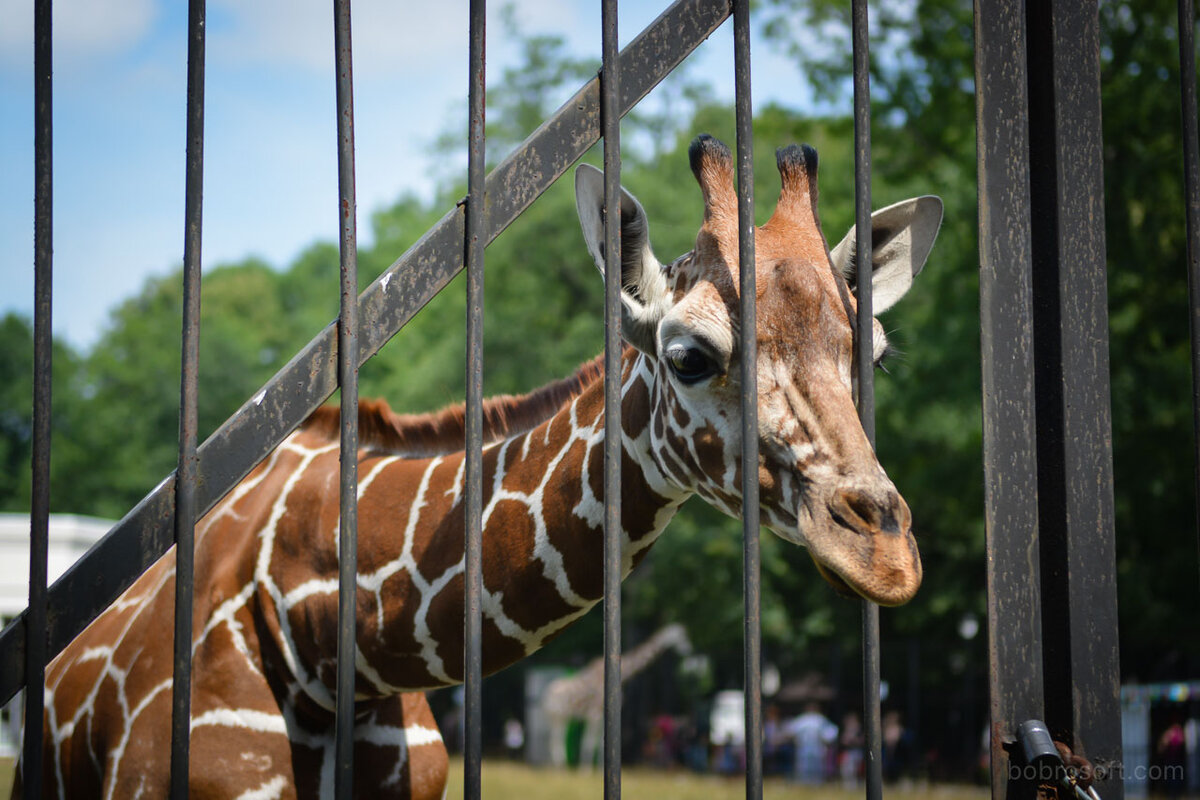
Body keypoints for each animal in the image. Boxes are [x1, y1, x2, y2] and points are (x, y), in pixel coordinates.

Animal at [540, 623, 691, 767]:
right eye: (681, 636)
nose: (687, 649)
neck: (623, 675)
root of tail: (547, 693)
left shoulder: (601, 714)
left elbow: (602, 743)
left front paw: (599, 767)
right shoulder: (593, 714)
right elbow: (589, 743)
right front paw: (585, 770)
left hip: (560, 717)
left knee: (554, 739)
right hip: (557, 716)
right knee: (555, 740)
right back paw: (559, 766)